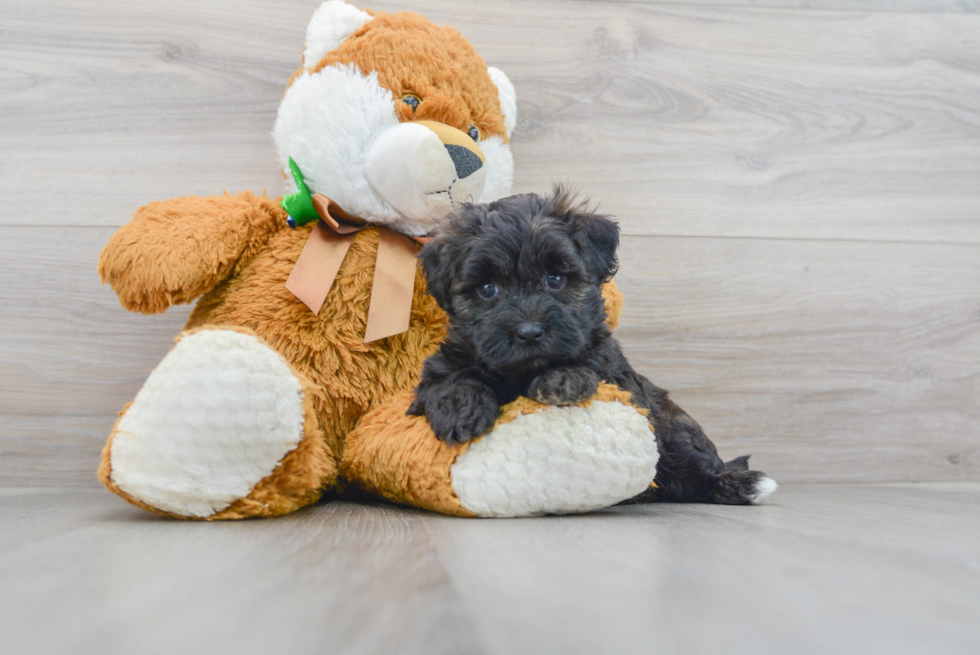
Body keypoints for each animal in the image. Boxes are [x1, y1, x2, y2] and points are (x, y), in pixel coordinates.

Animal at [410, 187, 776, 504]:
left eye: (555, 279)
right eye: (488, 289)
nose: (529, 332)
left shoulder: (619, 378)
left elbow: (591, 363)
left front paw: (563, 379)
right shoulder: (442, 364)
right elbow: (451, 377)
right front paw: (461, 409)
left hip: (675, 429)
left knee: (700, 467)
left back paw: (741, 485)